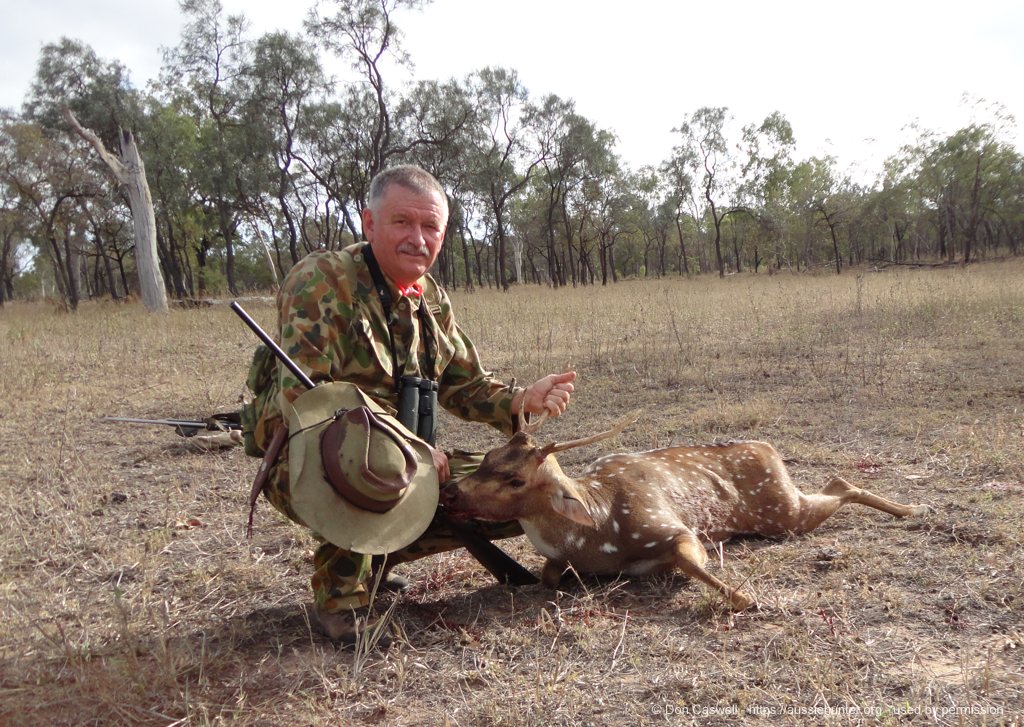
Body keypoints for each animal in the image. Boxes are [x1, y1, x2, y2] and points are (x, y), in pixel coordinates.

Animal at [440, 413, 929, 610]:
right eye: (486, 456)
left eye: (515, 479)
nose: (449, 491)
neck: (597, 537)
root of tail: (770, 448)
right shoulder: (563, 561)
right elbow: (545, 575)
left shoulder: (668, 526)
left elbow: (697, 566)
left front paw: (748, 599)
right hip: (786, 504)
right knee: (836, 483)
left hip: (781, 512)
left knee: (841, 485)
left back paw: (911, 508)